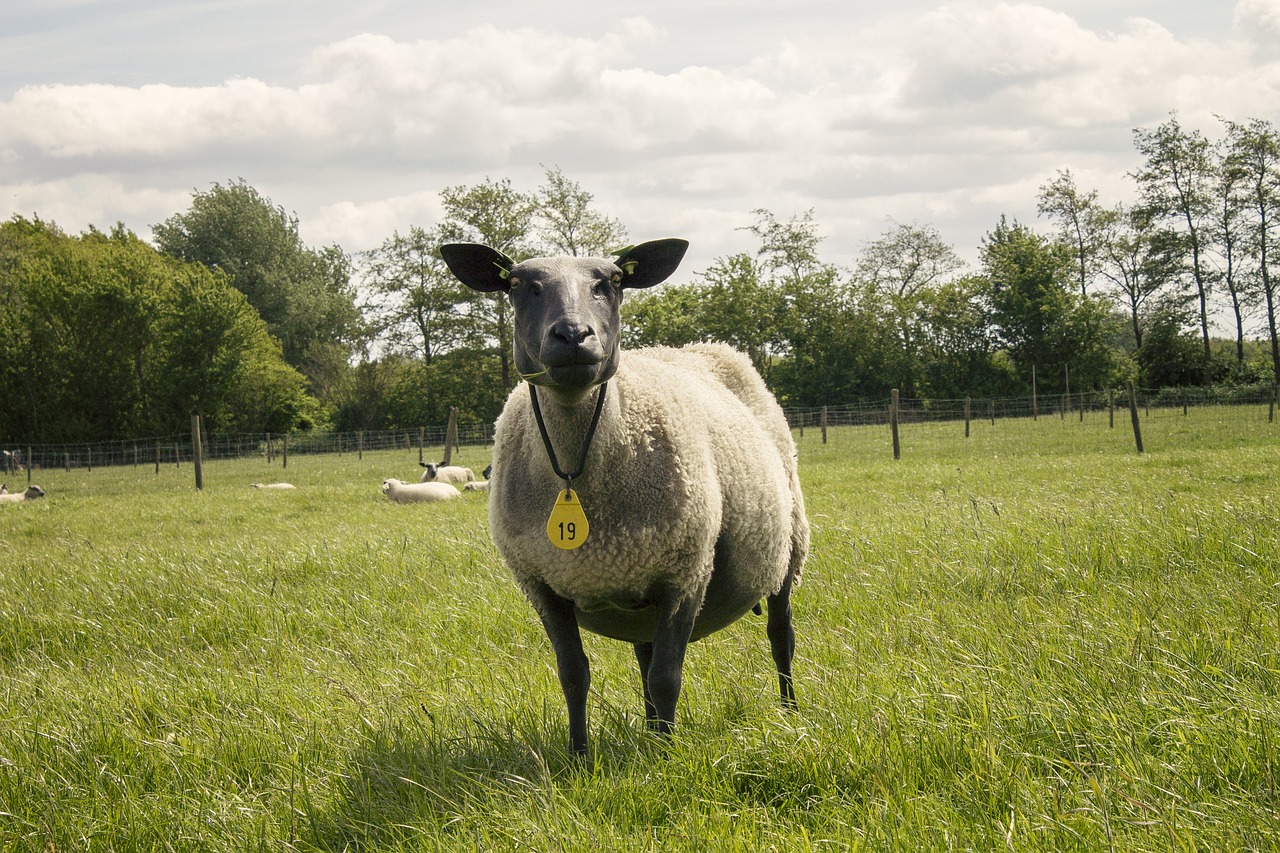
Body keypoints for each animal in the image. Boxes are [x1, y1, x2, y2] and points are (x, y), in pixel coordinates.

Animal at [440, 235, 808, 753]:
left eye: (611, 282)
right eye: (516, 284)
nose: (573, 335)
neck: (576, 472)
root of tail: (706, 346)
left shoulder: (686, 573)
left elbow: (667, 678)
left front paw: (668, 760)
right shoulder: (542, 584)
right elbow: (574, 675)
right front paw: (579, 756)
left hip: (788, 549)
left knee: (780, 635)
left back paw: (790, 713)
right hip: (638, 588)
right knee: (645, 657)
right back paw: (653, 731)